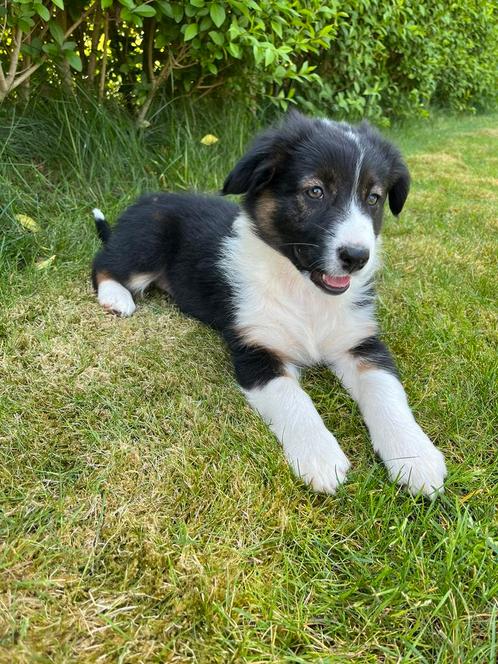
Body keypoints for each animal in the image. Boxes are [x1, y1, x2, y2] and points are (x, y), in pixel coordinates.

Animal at [92, 111, 448, 498]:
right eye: (315, 191)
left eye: (373, 198)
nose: (357, 258)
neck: (304, 290)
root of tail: (144, 202)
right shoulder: (257, 350)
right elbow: (294, 400)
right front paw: (320, 456)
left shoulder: (360, 342)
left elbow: (387, 392)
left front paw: (415, 456)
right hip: (147, 244)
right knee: (103, 263)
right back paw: (116, 298)